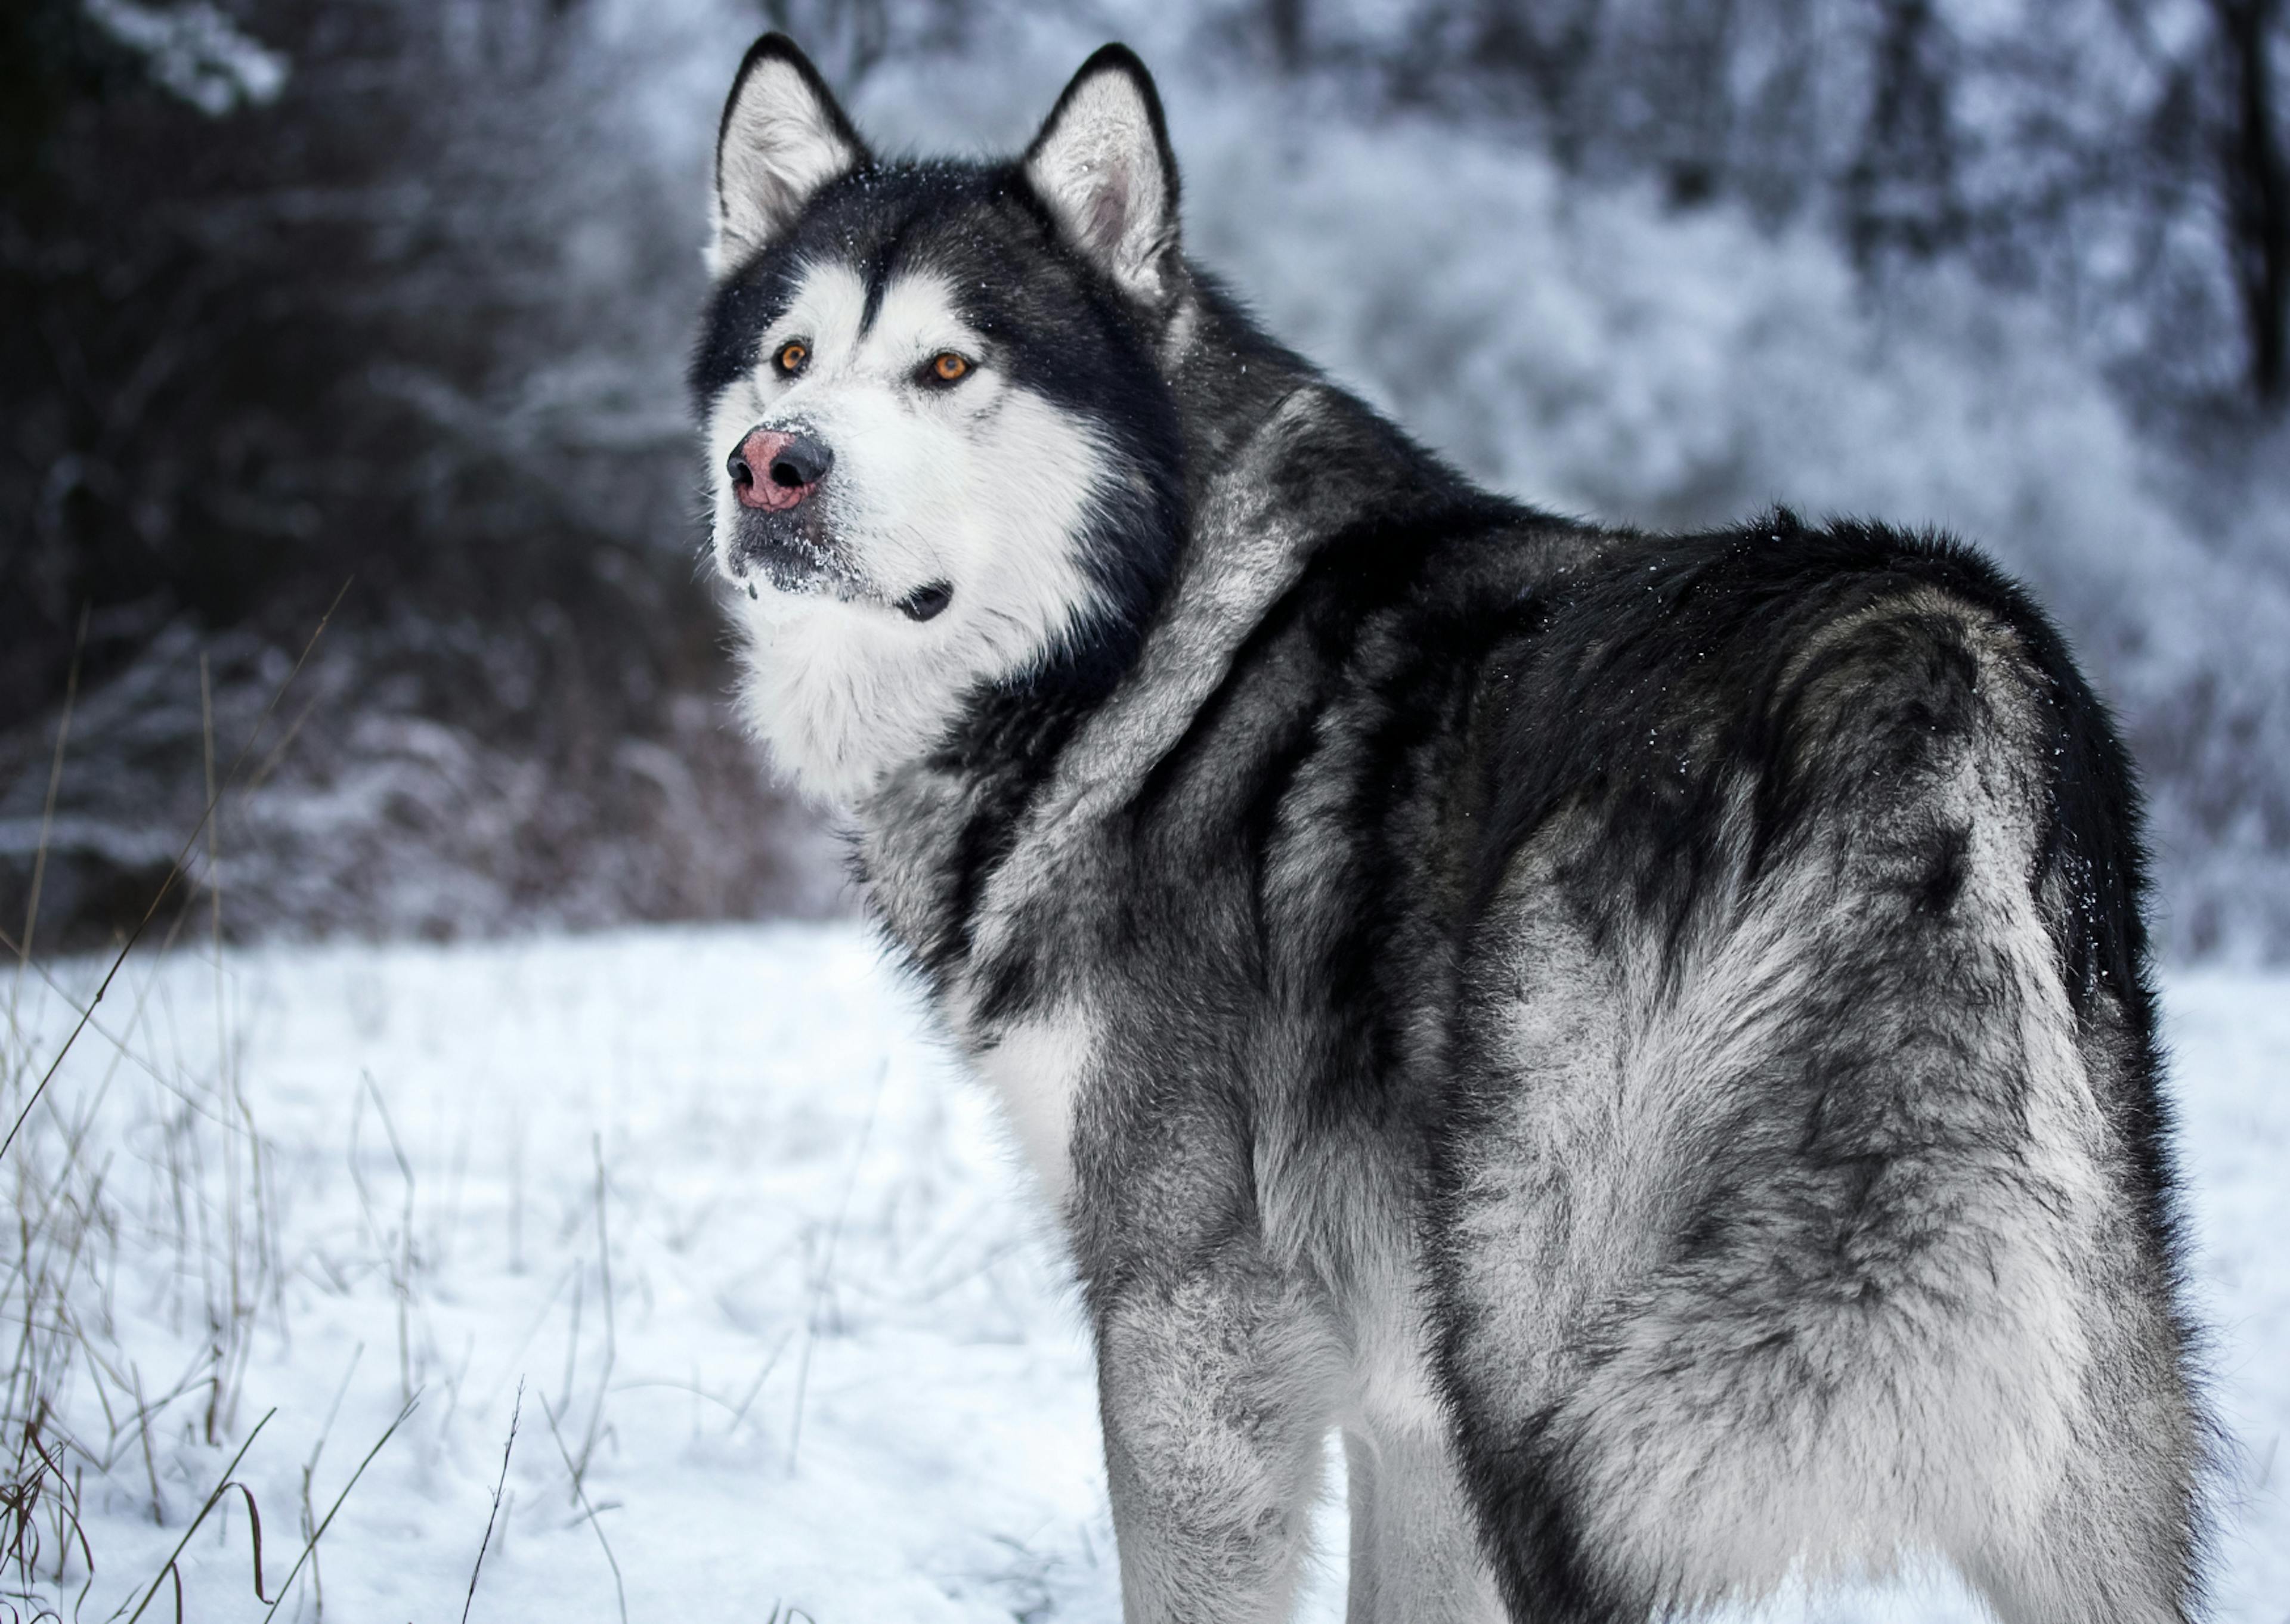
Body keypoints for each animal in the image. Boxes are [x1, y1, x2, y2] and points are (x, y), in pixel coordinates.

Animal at [687, 38, 2207, 1622]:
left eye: (946, 368)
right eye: (789, 358)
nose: (773, 465)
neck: (1145, 642)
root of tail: (1917, 643)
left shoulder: (1186, 1322)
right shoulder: (1405, 1418)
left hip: (1553, 1398)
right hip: (2051, 1433)